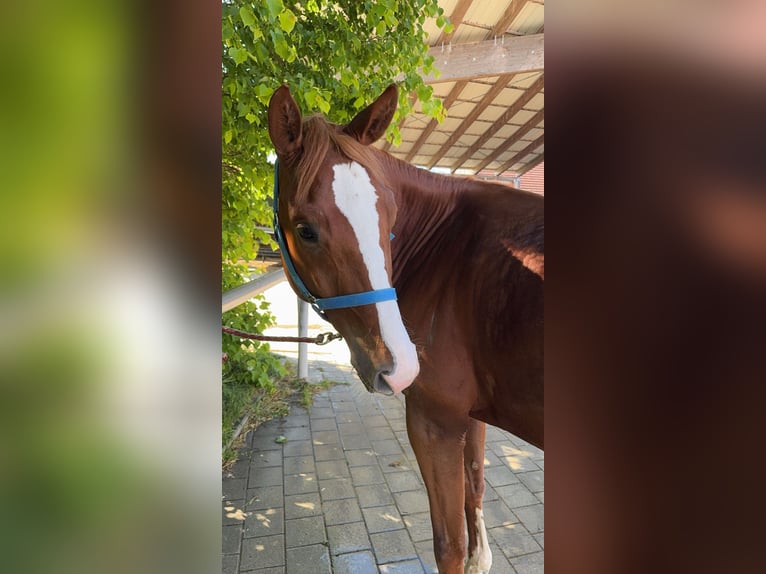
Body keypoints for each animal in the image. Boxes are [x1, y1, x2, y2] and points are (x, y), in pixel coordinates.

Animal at [267, 84, 543, 574]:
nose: (397, 366)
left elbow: (449, 545)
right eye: (306, 230)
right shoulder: (470, 416)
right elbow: (475, 494)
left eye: (390, 218)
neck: (451, 251)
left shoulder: (435, 421)